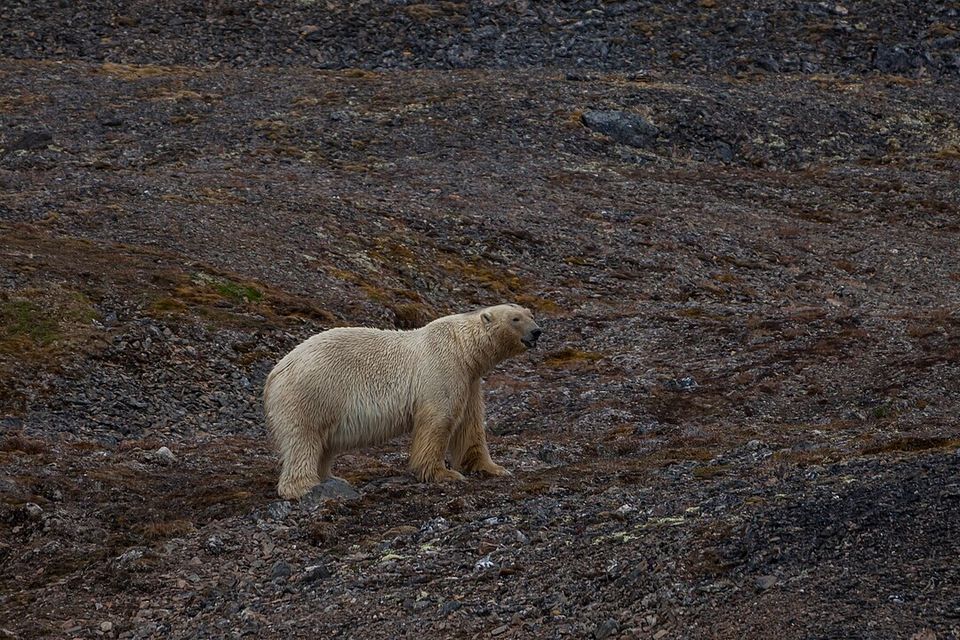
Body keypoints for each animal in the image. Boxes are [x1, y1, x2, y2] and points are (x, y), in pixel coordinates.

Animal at [263, 303, 543, 499]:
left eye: (530, 313)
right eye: (515, 319)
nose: (537, 332)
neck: (462, 348)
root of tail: (276, 372)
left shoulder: (470, 380)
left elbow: (470, 426)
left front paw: (492, 468)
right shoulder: (442, 370)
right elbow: (438, 420)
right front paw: (443, 473)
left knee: (322, 445)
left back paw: (333, 479)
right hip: (313, 392)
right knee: (304, 439)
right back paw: (305, 486)